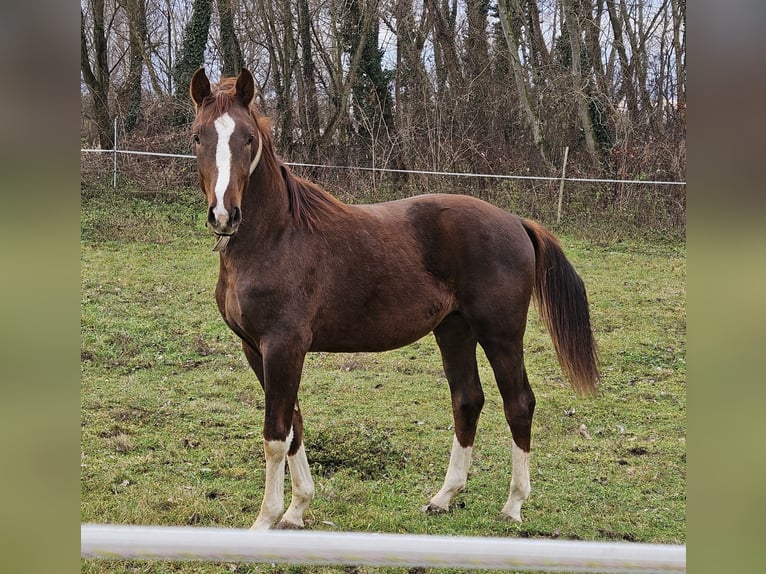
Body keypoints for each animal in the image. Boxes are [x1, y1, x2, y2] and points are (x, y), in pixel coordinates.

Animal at [190, 70, 600, 532]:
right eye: (198, 136)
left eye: (247, 138)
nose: (224, 215)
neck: (278, 236)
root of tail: (516, 221)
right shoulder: (255, 348)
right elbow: (294, 422)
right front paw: (297, 509)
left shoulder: (283, 346)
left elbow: (276, 435)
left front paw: (267, 519)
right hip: (454, 329)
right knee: (467, 400)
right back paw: (444, 497)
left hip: (501, 334)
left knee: (519, 404)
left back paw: (513, 504)